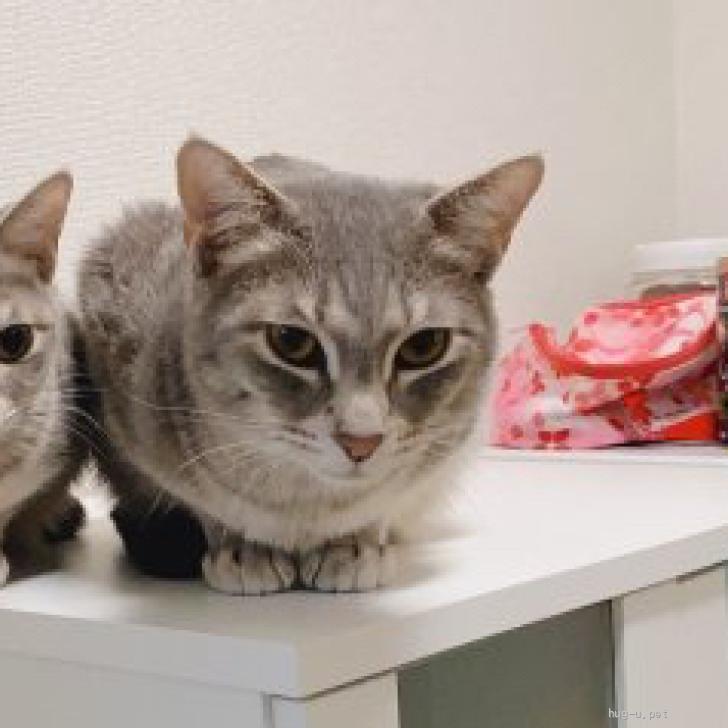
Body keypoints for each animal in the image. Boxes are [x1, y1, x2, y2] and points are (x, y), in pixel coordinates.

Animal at [79, 137, 543, 594]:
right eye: (292, 342)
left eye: (424, 346)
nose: (362, 442)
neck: (306, 506)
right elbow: (206, 503)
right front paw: (243, 547)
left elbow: (385, 499)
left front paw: (355, 543)